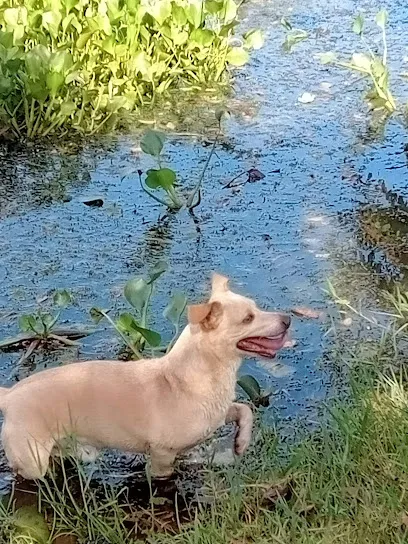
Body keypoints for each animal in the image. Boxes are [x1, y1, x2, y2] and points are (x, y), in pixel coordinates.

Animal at [0, 274, 292, 478]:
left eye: (256, 308)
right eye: (248, 318)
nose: (288, 318)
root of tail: (10, 394)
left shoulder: (219, 414)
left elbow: (245, 409)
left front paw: (241, 443)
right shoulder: (162, 455)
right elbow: (163, 476)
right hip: (33, 461)